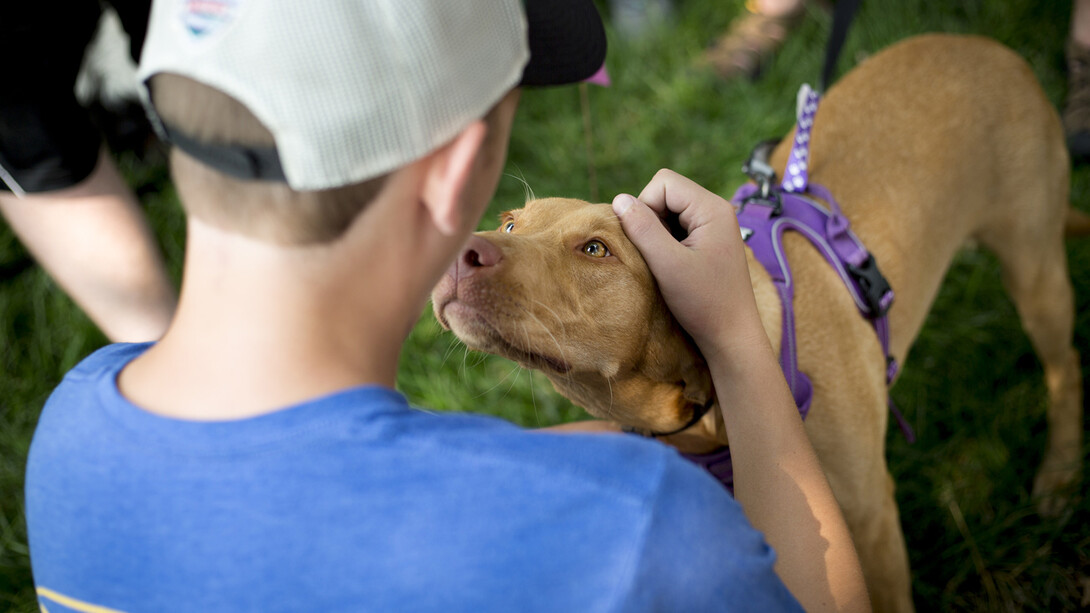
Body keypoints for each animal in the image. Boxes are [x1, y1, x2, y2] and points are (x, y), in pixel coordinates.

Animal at [429, 34, 1085, 610]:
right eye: (510, 222)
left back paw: (1059, 476)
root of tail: (992, 48)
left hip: (1035, 271)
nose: (460, 251)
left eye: (596, 250)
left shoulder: (869, 517)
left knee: (1065, 367)